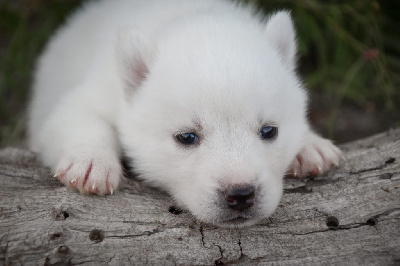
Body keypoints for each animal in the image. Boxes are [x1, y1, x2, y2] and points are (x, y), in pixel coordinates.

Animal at [28, 0, 340, 227]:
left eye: (269, 131)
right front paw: (91, 163)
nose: (241, 195)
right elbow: (78, 115)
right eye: (187, 137)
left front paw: (311, 146)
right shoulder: (96, 90)